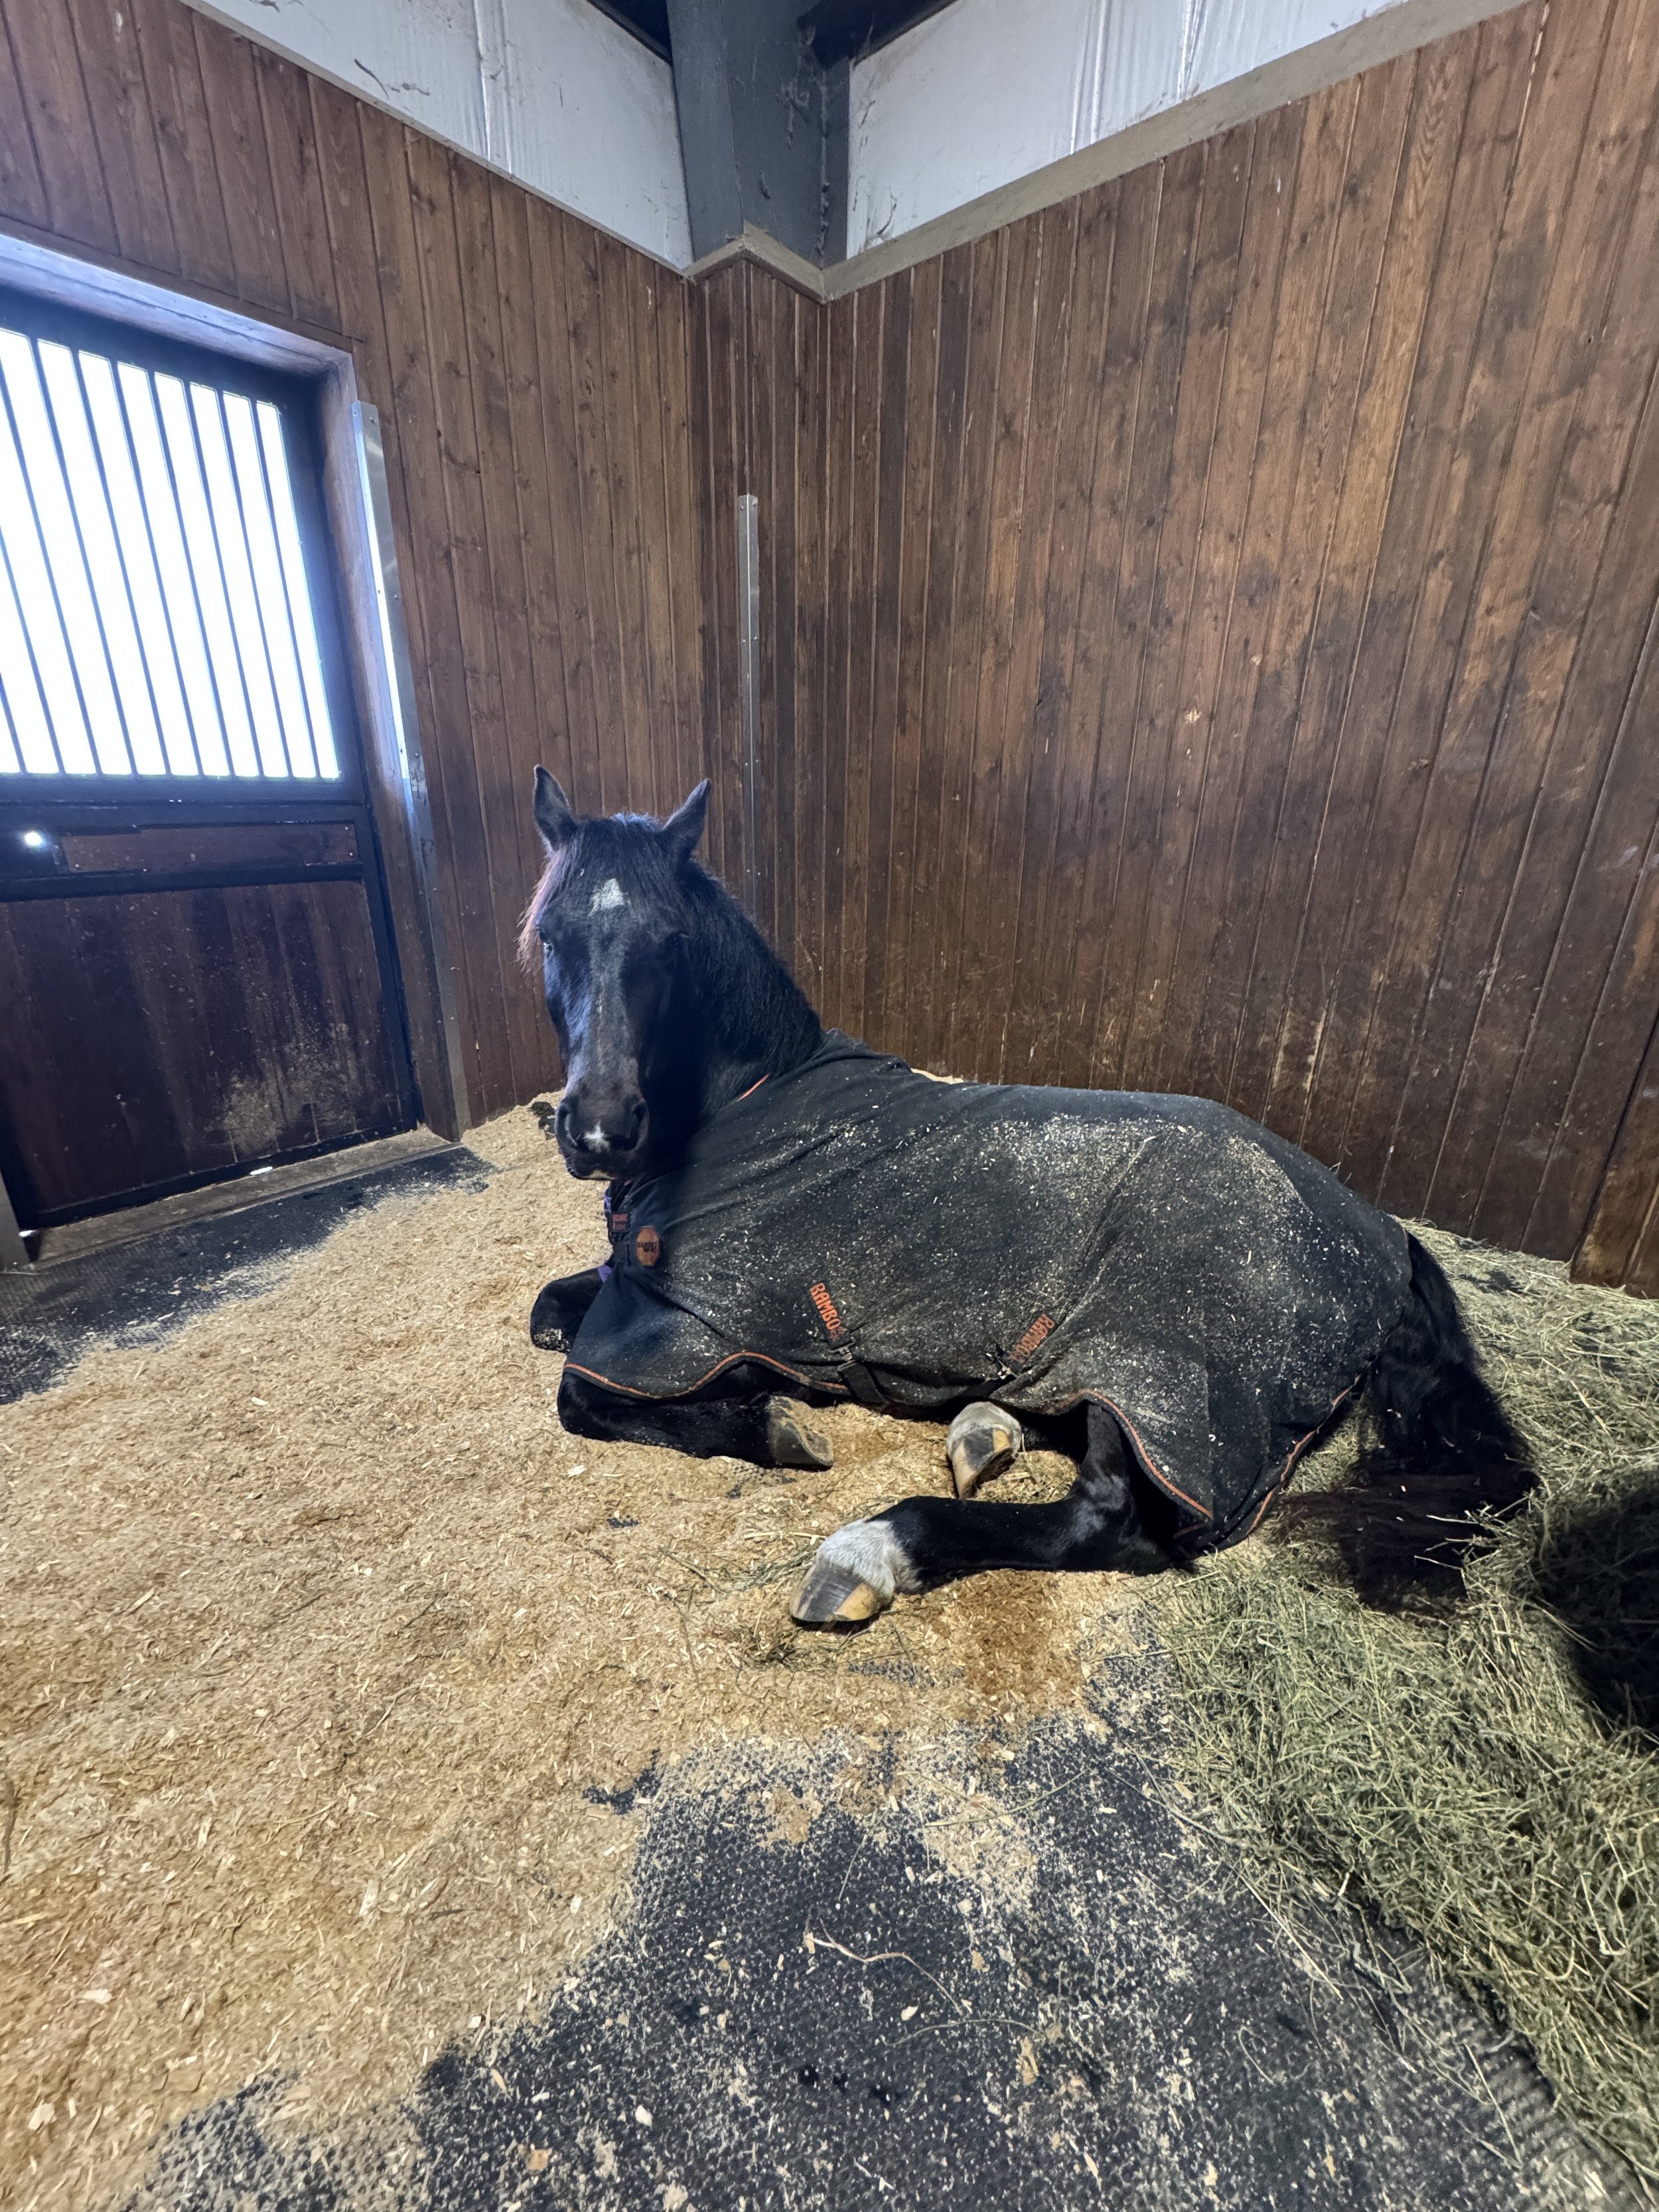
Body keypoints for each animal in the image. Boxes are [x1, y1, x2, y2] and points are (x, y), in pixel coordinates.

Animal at [519, 772, 1534, 1627]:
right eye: (551, 936)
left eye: (670, 945)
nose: (600, 1129)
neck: (751, 1101)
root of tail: (1383, 1237)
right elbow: (548, 1311)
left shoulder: (685, 1327)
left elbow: (582, 1394)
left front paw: (776, 1425)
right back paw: (986, 1428)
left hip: (1161, 1368)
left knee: (1108, 1514)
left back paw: (873, 1550)